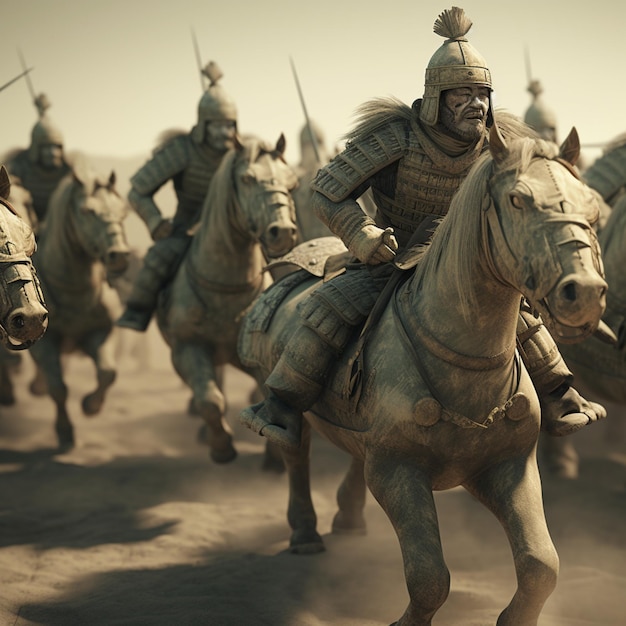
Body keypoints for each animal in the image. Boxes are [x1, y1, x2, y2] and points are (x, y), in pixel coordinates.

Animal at [27, 158, 129, 446]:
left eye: (122, 211)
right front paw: (64, 431)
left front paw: (90, 406)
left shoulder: (100, 332)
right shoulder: (46, 341)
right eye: (87, 211)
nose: (119, 255)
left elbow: (108, 372)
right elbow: (58, 387)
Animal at [155, 132, 298, 464]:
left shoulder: (255, 356)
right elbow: (210, 400)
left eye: (291, 181)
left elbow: (266, 395)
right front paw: (222, 448)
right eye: (247, 179)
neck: (226, 287)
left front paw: (274, 458)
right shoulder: (186, 349)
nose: (283, 232)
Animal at [238, 124, 604, 620]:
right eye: (517, 200)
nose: (583, 294)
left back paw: (348, 519)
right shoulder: (398, 472)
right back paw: (305, 533)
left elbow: (540, 566)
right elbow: (429, 577)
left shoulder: (509, 467)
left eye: (590, 205)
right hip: (286, 395)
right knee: (294, 445)